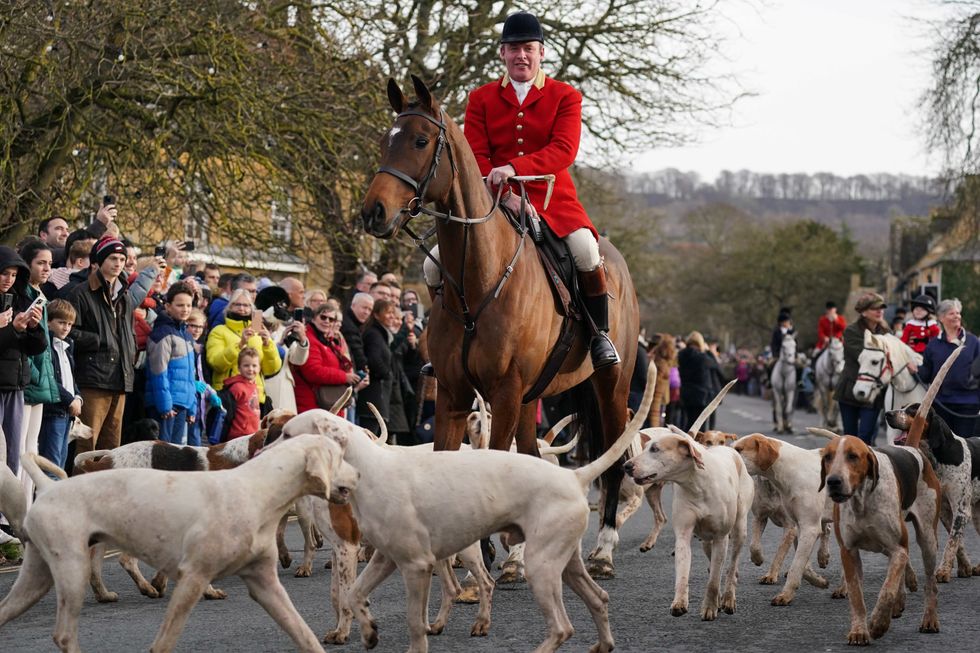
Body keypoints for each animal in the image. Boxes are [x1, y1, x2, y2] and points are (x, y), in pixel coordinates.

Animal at [360, 74, 644, 580]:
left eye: (419, 140)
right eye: (383, 141)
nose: (373, 212)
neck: (478, 279)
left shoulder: (505, 391)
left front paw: (488, 554)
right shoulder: (454, 394)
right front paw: (470, 558)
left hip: (610, 383)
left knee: (613, 458)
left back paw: (603, 549)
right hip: (533, 396)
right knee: (532, 457)